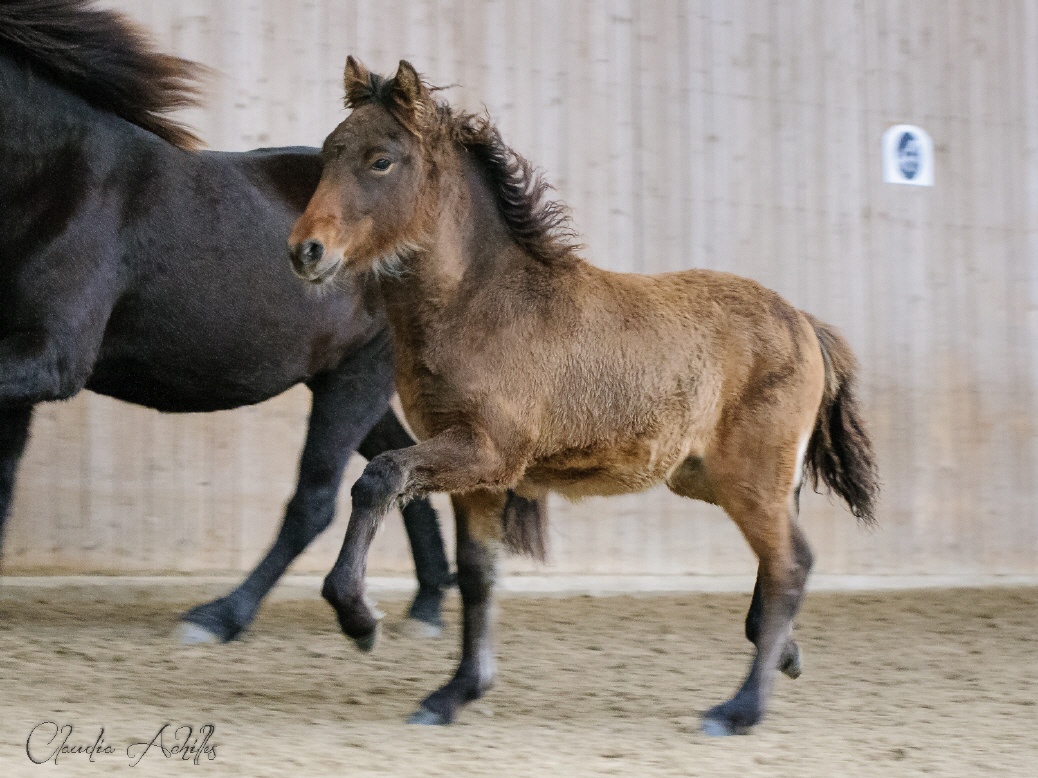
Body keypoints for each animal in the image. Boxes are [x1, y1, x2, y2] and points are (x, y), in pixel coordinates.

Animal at [0, 0, 462, 638]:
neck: (54, 175)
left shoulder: (51, 357)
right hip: (343, 376)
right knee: (398, 467)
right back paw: (425, 606)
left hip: (359, 376)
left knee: (315, 500)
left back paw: (221, 617)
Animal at [288, 59, 880, 738]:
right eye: (329, 153)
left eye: (381, 160)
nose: (305, 250)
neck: (482, 304)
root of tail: (804, 322)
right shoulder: (475, 473)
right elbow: (479, 575)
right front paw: (454, 694)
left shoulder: (489, 452)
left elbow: (379, 478)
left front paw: (358, 616)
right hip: (710, 476)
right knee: (788, 553)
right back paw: (782, 654)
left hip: (748, 477)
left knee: (790, 566)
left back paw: (739, 709)